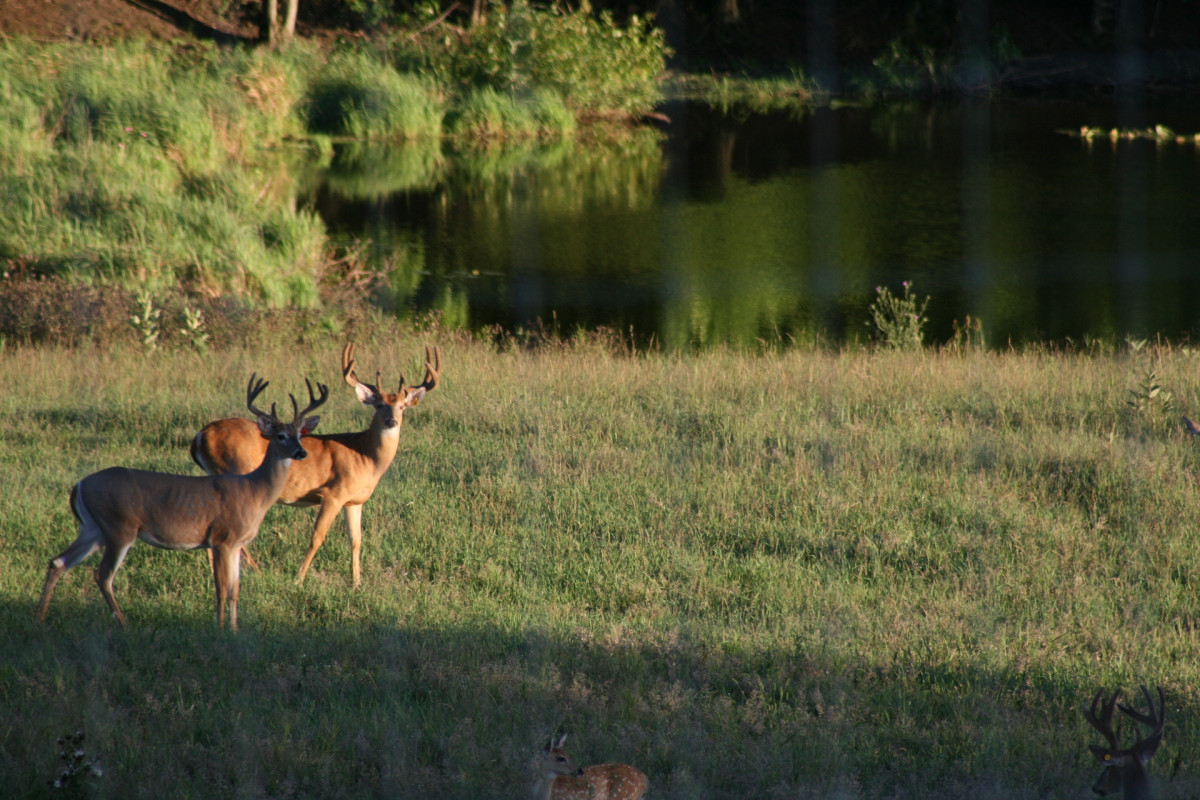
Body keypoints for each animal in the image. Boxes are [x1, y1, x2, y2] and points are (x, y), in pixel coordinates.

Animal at [37, 376, 328, 633]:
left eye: (299, 435)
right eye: (280, 436)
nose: (301, 452)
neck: (255, 490)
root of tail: (79, 485)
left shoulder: (236, 544)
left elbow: (235, 590)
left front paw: (234, 630)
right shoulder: (222, 538)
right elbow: (222, 589)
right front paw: (219, 628)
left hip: (93, 528)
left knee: (58, 562)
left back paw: (40, 617)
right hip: (119, 527)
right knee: (102, 575)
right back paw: (123, 623)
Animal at [192, 340, 441, 585]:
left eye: (402, 406)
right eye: (379, 404)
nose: (391, 421)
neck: (365, 455)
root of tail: (202, 435)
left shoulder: (354, 501)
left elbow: (356, 540)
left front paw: (356, 583)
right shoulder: (333, 493)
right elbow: (317, 537)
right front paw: (298, 579)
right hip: (234, 473)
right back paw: (255, 571)